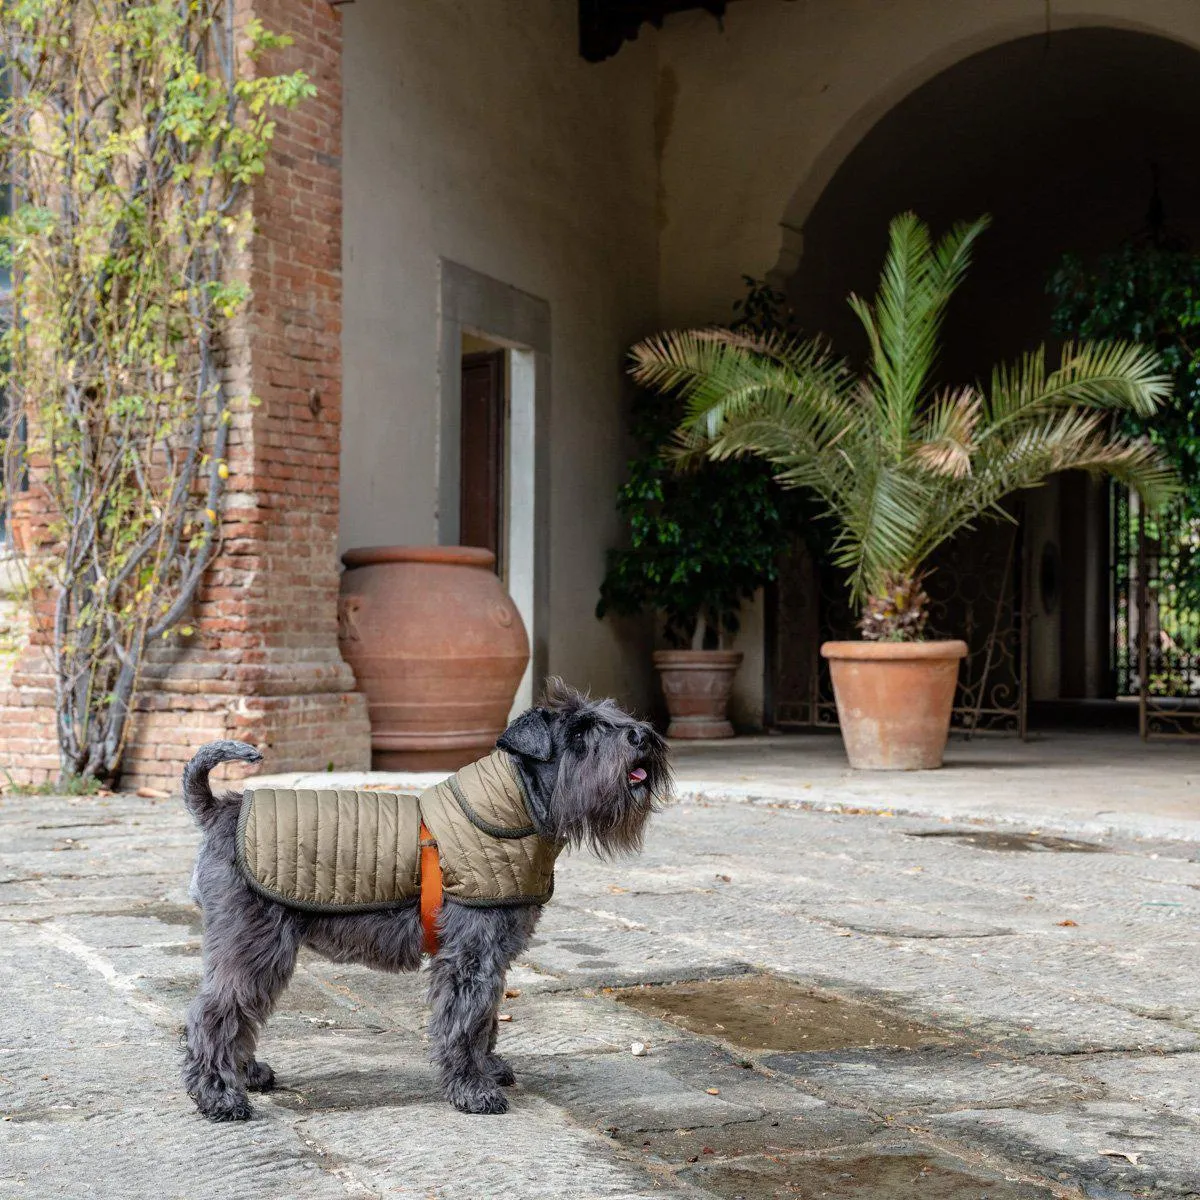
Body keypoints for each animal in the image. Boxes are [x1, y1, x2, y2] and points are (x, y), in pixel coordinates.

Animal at [177, 681, 672, 1118]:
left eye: (615, 715)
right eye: (579, 734)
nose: (643, 736)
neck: (516, 807)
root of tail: (220, 809)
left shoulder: (495, 953)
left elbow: (487, 1018)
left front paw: (488, 1068)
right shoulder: (470, 956)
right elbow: (465, 1022)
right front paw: (473, 1090)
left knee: (236, 1014)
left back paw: (248, 1074)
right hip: (254, 946)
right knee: (214, 1013)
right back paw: (220, 1097)